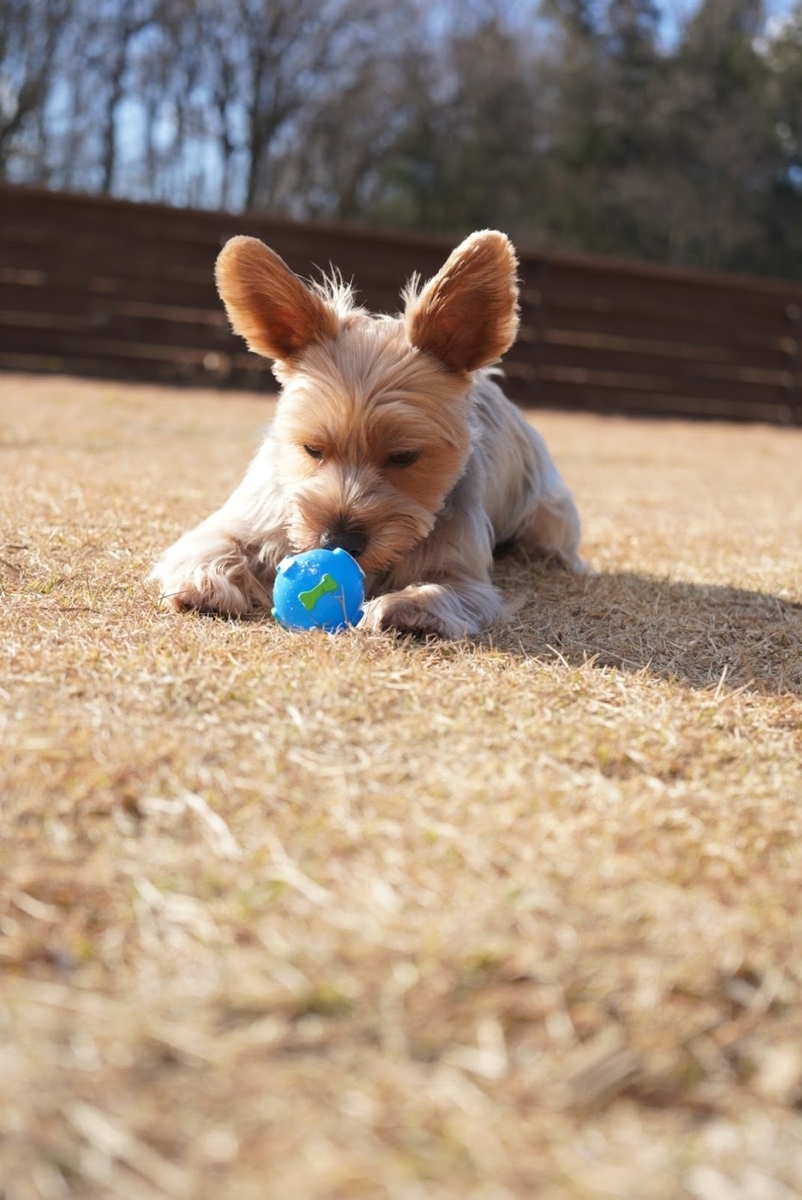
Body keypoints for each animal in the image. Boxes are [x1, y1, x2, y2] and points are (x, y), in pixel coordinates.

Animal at [148, 225, 583, 638]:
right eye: (312, 449)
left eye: (404, 456)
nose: (337, 542)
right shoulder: (251, 515)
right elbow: (210, 545)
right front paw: (205, 585)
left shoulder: (464, 572)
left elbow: (446, 588)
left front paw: (408, 608)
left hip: (549, 512)